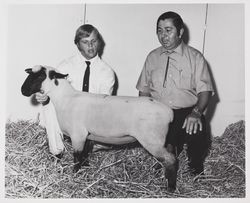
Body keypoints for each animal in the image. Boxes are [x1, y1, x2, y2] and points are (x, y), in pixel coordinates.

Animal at [21, 65, 178, 192]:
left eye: (41, 76)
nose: (23, 90)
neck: (65, 99)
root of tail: (169, 113)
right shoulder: (86, 136)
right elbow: (84, 154)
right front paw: (86, 168)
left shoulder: (77, 135)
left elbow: (77, 157)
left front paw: (75, 174)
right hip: (162, 140)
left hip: (152, 140)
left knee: (171, 160)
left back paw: (170, 187)